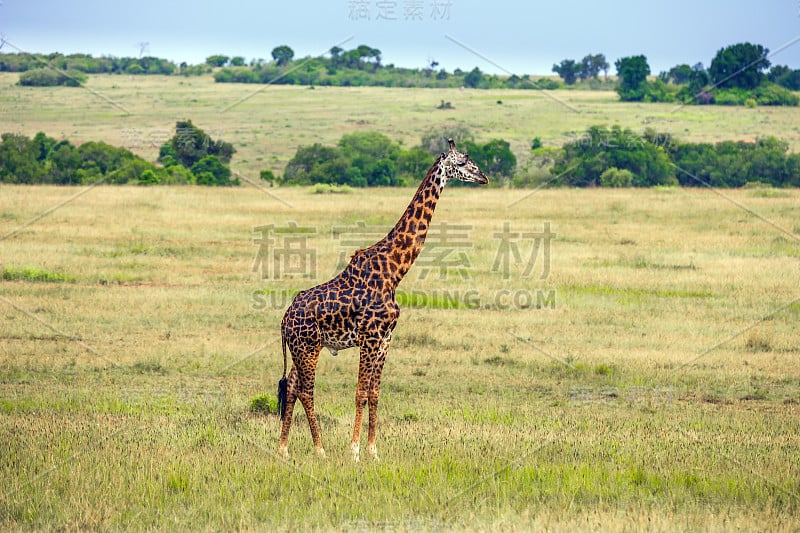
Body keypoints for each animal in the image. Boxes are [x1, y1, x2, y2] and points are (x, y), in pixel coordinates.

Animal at [276, 139, 488, 460]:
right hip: (308, 348)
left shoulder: (386, 338)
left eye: (470, 159)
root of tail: (285, 318)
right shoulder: (370, 336)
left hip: (305, 348)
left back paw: (284, 449)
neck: (394, 271)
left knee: (290, 386)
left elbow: (375, 393)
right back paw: (320, 449)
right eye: (462, 162)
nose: (483, 177)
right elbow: (360, 392)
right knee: (305, 390)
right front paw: (353, 450)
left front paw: (373, 450)